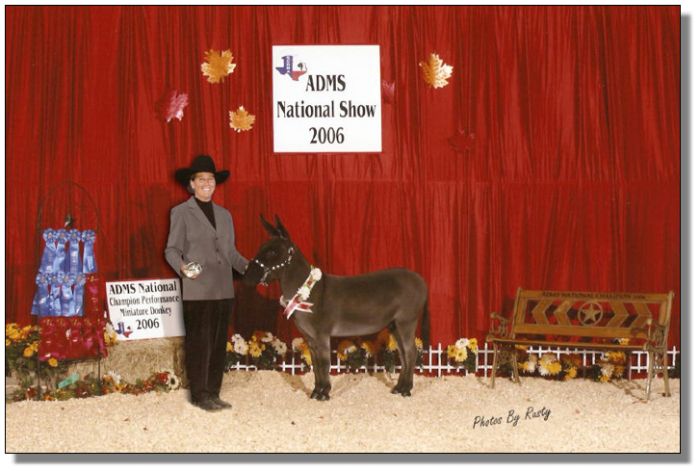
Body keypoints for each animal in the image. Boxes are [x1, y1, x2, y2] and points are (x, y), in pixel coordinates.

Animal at [243, 215, 430, 400]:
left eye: (272, 252)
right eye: (261, 248)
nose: (246, 276)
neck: (309, 291)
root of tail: (420, 280)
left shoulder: (321, 335)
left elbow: (324, 363)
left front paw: (324, 393)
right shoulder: (310, 338)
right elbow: (316, 364)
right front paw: (316, 392)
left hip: (406, 321)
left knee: (411, 352)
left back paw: (406, 390)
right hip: (394, 325)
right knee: (404, 354)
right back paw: (399, 388)